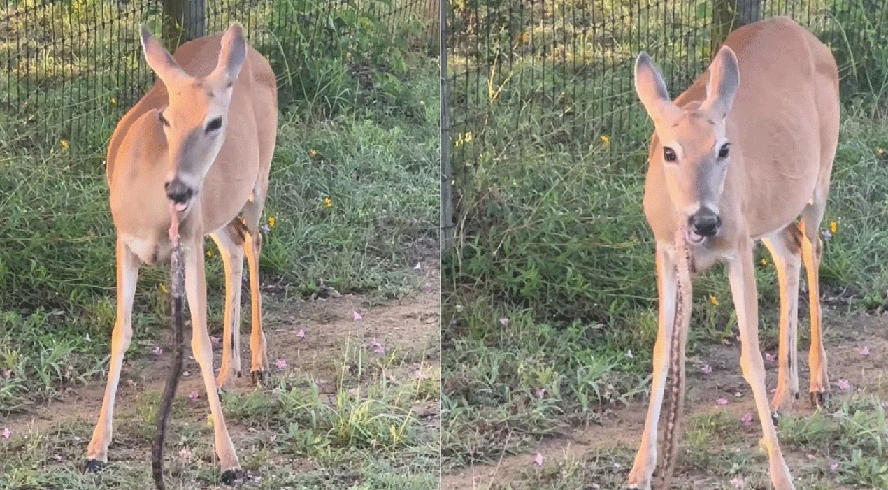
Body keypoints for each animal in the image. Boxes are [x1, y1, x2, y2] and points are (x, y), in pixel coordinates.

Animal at [84, 23, 278, 482]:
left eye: (215, 121)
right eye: (166, 118)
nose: (178, 189)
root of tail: (252, 54)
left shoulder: (187, 243)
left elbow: (199, 342)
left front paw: (229, 459)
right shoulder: (125, 242)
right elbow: (120, 333)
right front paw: (96, 448)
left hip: (258, 178)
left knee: (255, 241)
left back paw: (257, 363)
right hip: (216, 212)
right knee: (234, 247)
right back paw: (229, 372)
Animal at [628, 16, 836, 490]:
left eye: (723, 149)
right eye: (669, 152)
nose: (705, 222)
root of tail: (807, 35)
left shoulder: (737, 247)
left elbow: (751, 359)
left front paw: (781, 474)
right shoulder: (667, 252)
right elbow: (662, 353)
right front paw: (641, 467)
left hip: (819, 177)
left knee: (812, 248)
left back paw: (818, 383)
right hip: (771, 210)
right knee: (789, 255)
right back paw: (784, 395)